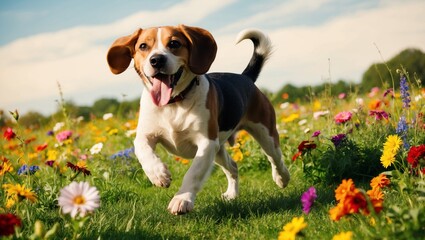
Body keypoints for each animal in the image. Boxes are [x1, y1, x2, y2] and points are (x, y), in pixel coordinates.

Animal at [107, 24, 290, 216]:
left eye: (174, 43)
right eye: (143, 46)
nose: (156, 60)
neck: (174, 103)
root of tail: (245, 77)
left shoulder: (206, 143)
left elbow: (193, 173)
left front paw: (181, 200)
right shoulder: (145, 136)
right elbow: (143, 151)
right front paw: (158, 174)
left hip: (264, 133)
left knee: (275, 158)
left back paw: (282, 178)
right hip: (219, 151)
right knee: (233, 166)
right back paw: (232, 194)